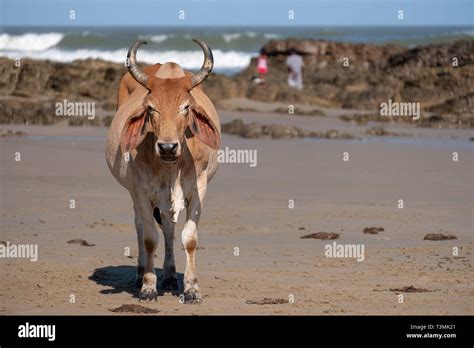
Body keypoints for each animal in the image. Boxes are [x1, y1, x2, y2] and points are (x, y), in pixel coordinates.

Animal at [105, 39, 220, 304]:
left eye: (186, 107)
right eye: (150, 108)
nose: (167, 147)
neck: (171, 166)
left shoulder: (198, 188)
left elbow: (189, 238)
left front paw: (192, 289)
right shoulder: (141, 190)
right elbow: (149, 239)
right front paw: (148, 287)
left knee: (169, 228)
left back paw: (169, 276)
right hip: (135, 193)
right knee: (140, 226)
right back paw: (140, 275)